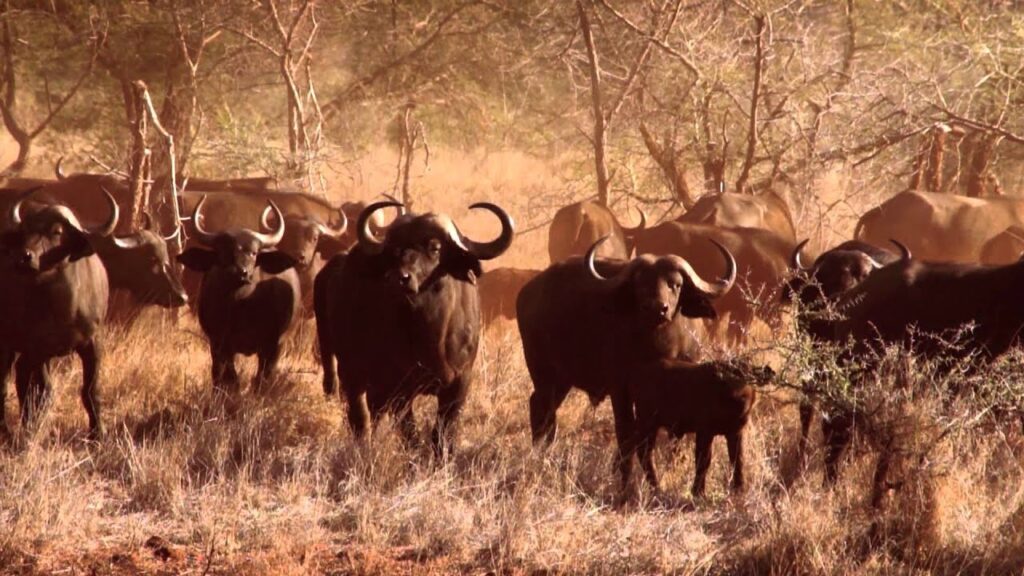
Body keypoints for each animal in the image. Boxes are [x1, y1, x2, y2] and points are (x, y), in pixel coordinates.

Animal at [0, 189, 118, 437]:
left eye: (57, 231)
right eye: (26, 230)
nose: (23, 257)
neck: (66, 309)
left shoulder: (93, 343)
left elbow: (91, 389)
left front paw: (98, 433)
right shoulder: (38, 349)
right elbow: (42, 391)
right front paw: (32, 428)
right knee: (8, 383)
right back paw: (9, 429)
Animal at [178, 196, 301, 393]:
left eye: (253, 253)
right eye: (223, 252)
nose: (240, 272)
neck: (242, 306)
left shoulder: (273, 345)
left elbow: (262, 378)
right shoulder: (220, 343)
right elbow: (230, 377)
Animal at [316, 200, 514, 453]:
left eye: (435, 247)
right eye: (394, 249)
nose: (400, 278)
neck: (431, 334)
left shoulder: (460, 383)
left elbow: (443, 432)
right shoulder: (399, 388)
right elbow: (410, 434)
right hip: (344, 366)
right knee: (358, 415)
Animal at [517, 236, 736, 489]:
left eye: (676, 284)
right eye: (640, 284)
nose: (657, 308)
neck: (660, 346)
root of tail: (527, 293)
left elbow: (671, 436)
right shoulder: (620, 389)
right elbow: (627, 434)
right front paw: (625, 480)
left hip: (562, 380)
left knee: (543, 409)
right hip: (544, 374)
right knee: (542, 411)